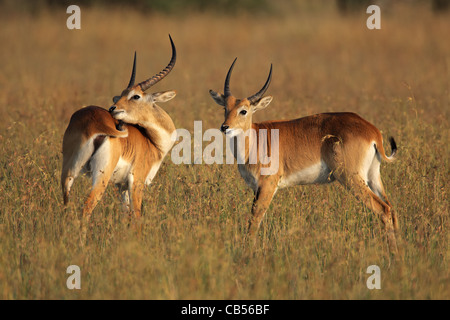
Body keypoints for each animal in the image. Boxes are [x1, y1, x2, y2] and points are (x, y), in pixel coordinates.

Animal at [60, 35, 178, 235]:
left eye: (135, 95)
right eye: (124, 94)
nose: (113, 108)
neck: (151, 142)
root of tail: (92, 122)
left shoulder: (120, 186)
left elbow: (125, 216)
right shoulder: (136, 182)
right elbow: (137, 217)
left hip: (68, 172)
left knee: (65, 206)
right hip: (101, 177)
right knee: (86, 208)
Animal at [209, 57, 400, 252]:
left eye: (243, 110)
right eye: (225, 108)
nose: (225, 127)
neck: (255, 141)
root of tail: (373, 131)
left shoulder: (267, 185)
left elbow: (254, 221)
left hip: (351, 178)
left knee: (383, 209)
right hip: (373, 177)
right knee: (391, 209)